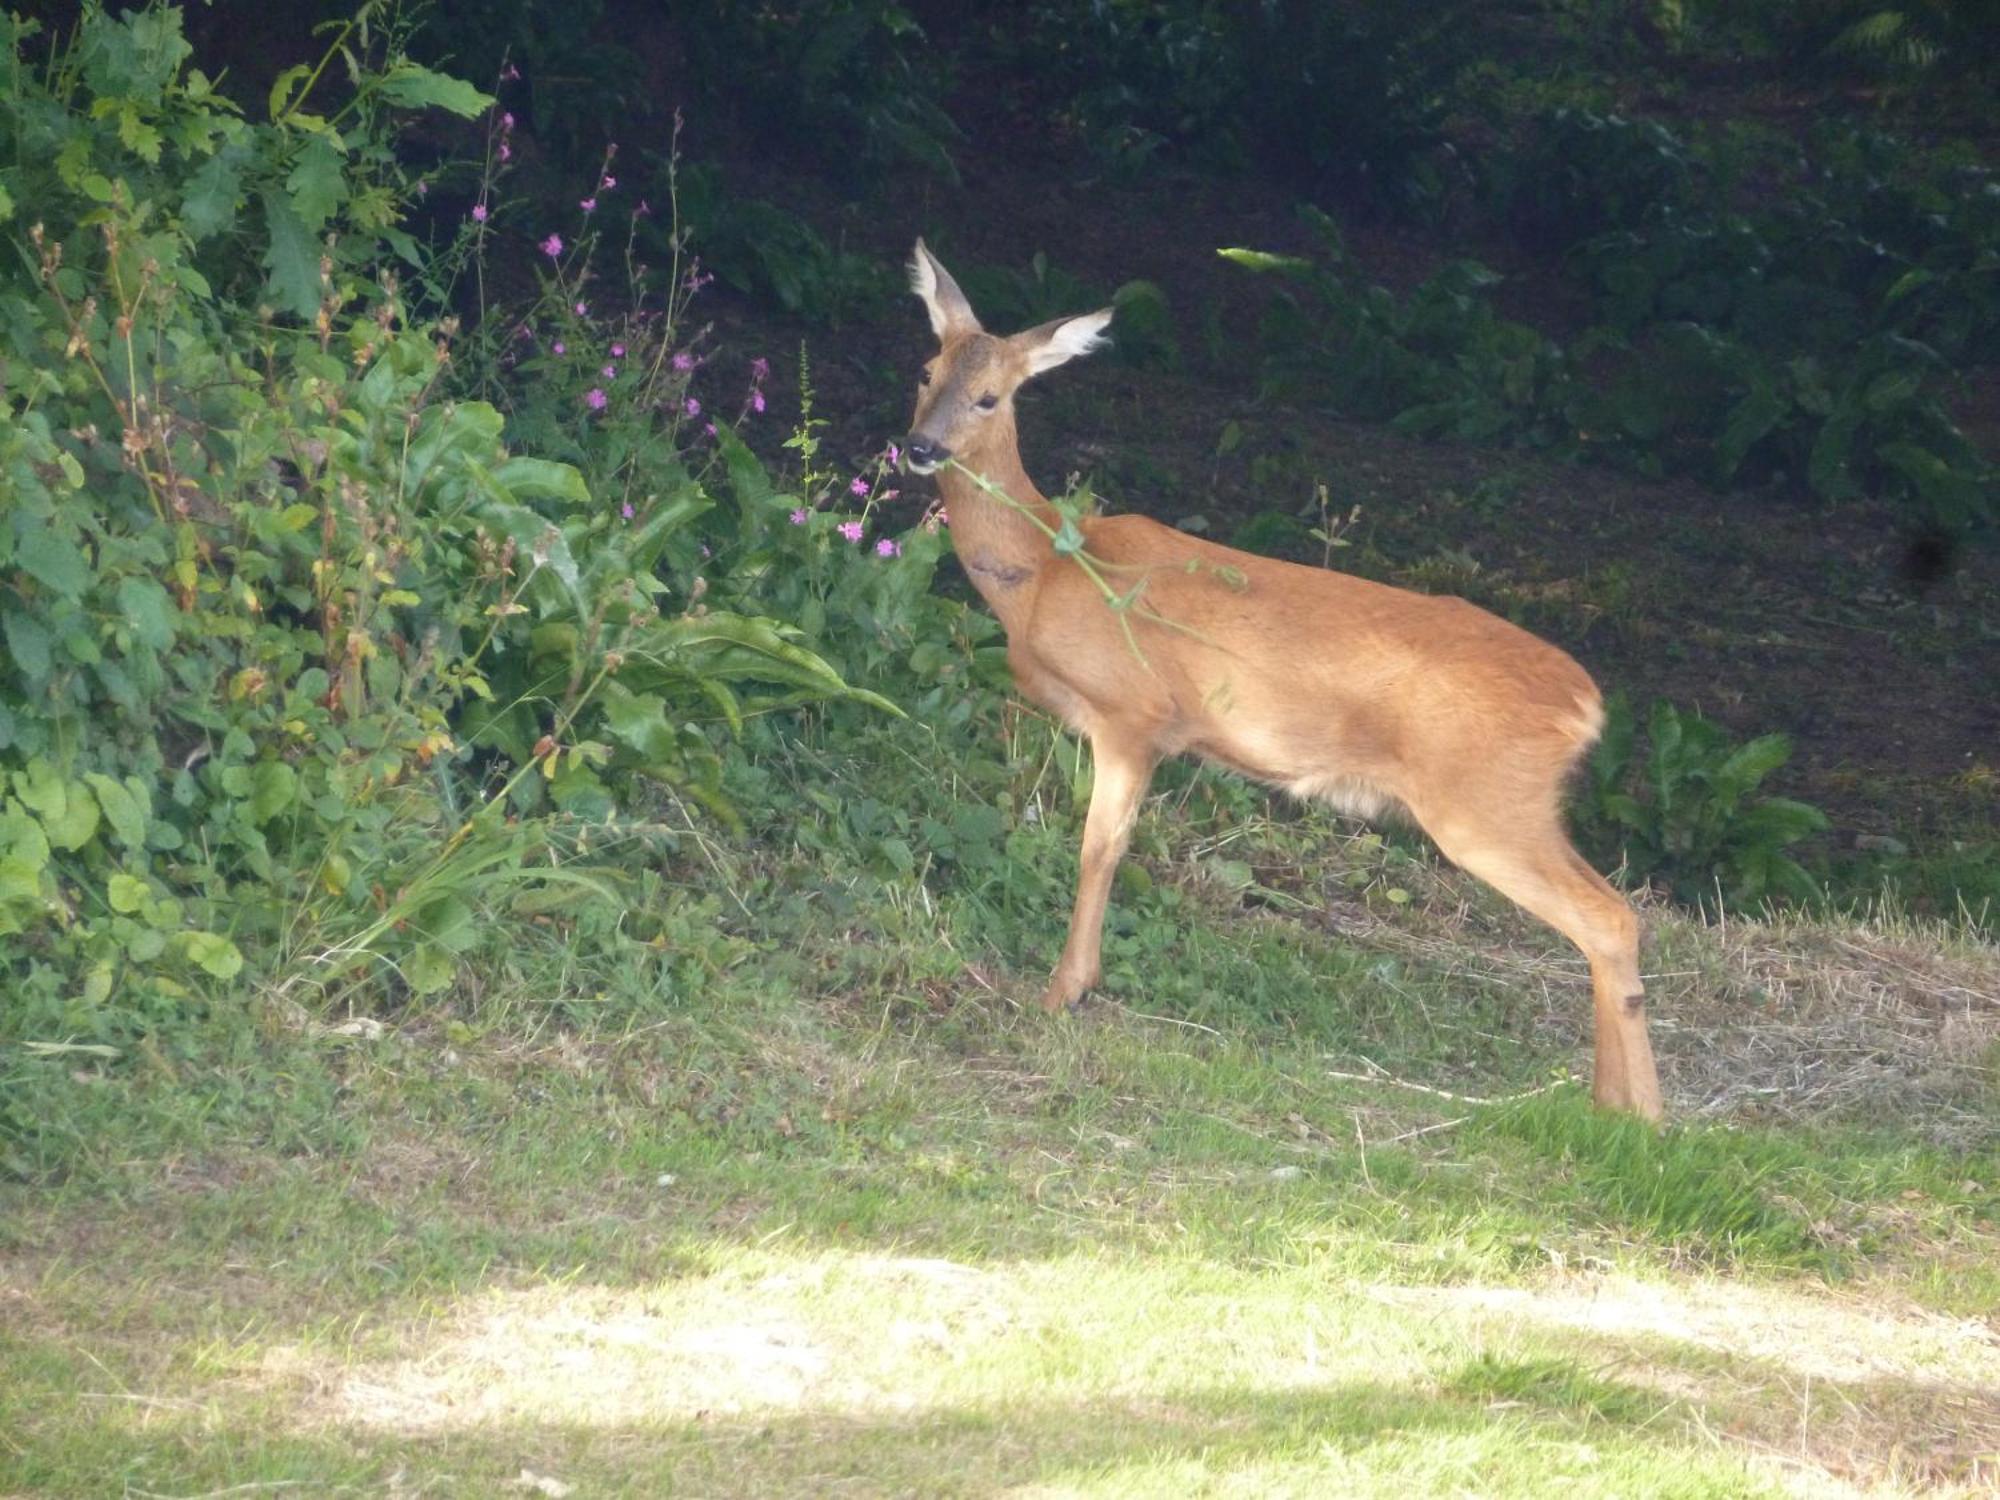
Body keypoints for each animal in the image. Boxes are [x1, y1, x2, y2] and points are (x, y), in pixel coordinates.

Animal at [900, 241, 1664, 1120]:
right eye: (927, 372)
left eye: (990, 397)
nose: (918, 448)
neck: (1047, 571)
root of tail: (1588, 705)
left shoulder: (1135, 715)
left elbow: (1100, 848)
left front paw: (1065, 990)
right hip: (1523, 805)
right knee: (1614, 910)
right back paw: (1613, 1104)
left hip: (1483, 806)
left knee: (1607, 918)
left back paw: (1642, 1117)